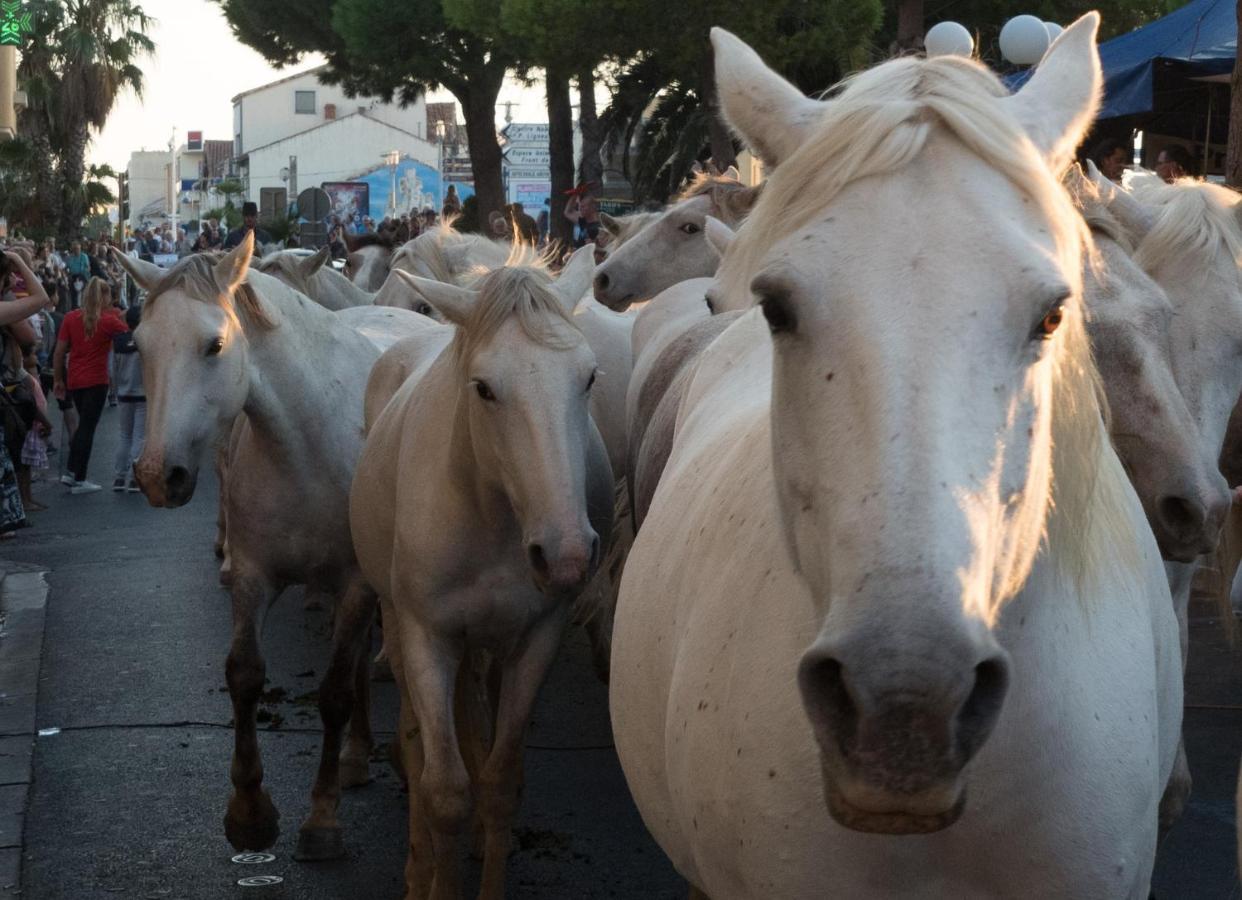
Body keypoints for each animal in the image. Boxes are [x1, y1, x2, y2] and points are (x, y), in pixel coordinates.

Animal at [115, 237, 437, 863]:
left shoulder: (356, 584)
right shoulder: (252, 576)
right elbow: (244, 675)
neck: (306, 442)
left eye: (214, 345)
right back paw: (358, 755)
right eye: (139, 344)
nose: (157, 476)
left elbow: (334, 693)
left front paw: (322, 819)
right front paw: (250, 813)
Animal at [352, 244, 613, 893]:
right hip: (399, 621)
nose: (567, 554)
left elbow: (498, 781)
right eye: (484, 389)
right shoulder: (428, 637)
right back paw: (418, 861)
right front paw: (433, 874)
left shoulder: (537, 637)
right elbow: (445, 791)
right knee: (417, 738)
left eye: (589, 377)